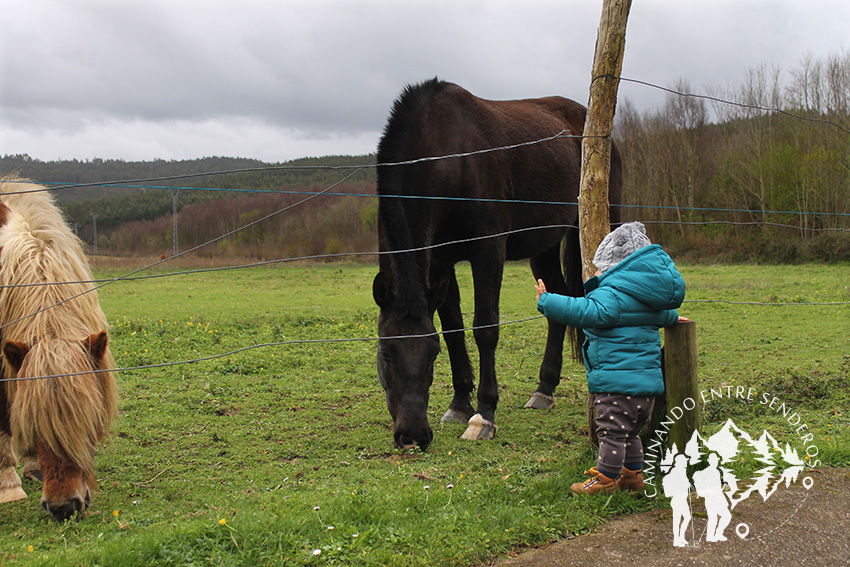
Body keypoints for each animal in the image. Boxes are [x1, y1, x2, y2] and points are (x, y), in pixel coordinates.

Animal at [374, 80, 620, 450]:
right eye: (386, 352)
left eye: (431, 355)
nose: (413, 435)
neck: (450, 157)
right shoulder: (440, 261)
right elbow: (453, 328)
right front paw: (459, 403)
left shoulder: (488, 252)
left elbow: (485, 328)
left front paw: (484, 415)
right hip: (544, 246)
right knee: (558, 299)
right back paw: (544, 389)